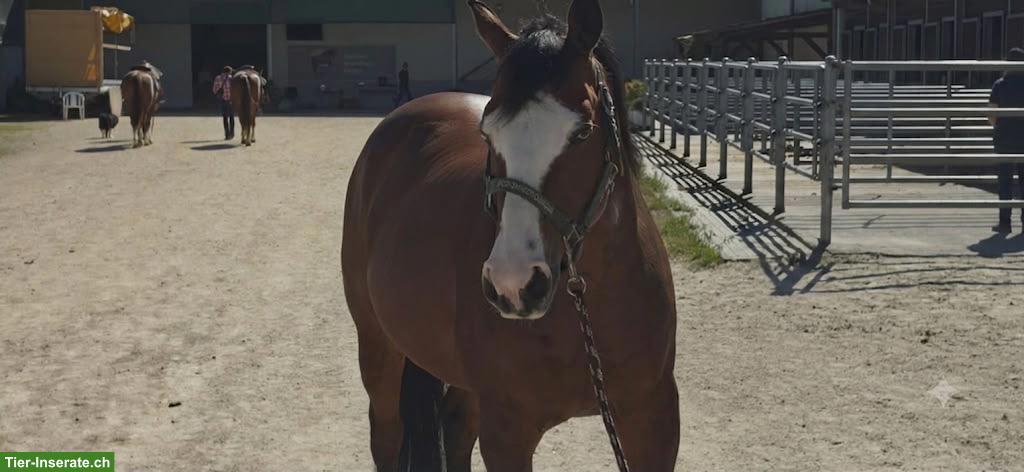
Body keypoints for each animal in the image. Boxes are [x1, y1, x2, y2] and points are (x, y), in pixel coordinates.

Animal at [340, 1, 679, 470]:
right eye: (488, 133)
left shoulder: (654, 420)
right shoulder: (507, 432)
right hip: (378, 343)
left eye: (583, 132)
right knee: (387, 434)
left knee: (455, 427)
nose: (514, 285)